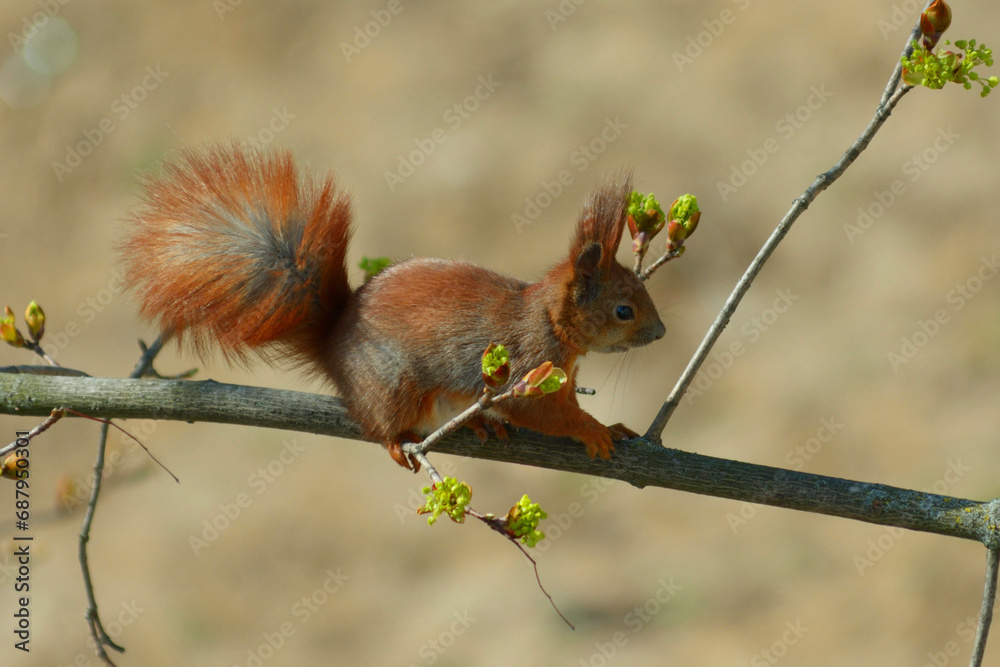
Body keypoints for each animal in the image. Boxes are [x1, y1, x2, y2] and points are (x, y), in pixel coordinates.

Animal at [119, 145, 666, 470]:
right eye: (624, 310)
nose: (661, 334)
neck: (550, 322)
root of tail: (333, 345)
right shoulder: (525, 362)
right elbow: (538, 410)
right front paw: (592, 429)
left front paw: (611, 425)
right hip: (392, 388)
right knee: (380, 426)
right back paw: (398, 441)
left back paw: (480, 422)